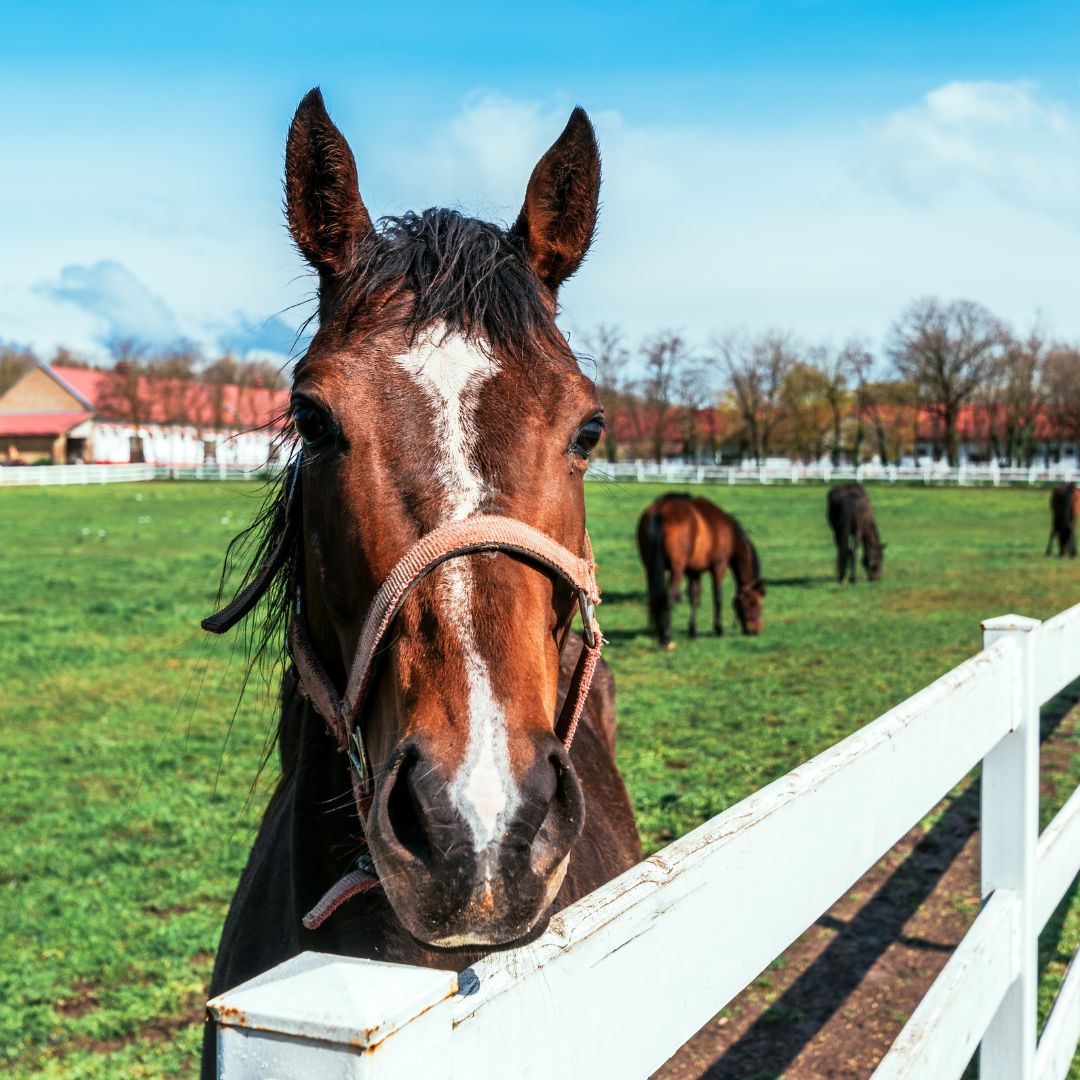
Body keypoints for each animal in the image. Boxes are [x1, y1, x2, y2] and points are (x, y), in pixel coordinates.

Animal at [635, 492, 764, 648]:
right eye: (754, 603)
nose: (756, 630)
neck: (729, 533)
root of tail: (659, 511)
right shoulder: (718, 567)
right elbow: (717, 598)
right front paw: (719, 629)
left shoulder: (694, 572)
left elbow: (694, 598)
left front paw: (693, 631)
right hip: (676, 571)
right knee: (668, 598)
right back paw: (666, 638)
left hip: (650, 568)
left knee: (654, 598)